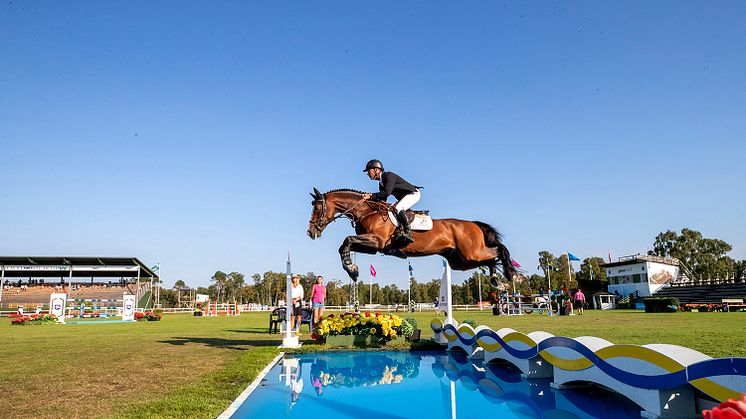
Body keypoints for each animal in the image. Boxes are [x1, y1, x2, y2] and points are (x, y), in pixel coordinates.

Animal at [306, 189, 516, 288]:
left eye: (317, 208)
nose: (310, 232)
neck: (367, 211)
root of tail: (473, 224)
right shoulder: (373, 247)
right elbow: (344, 245)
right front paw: (353, 270)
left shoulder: (376, 241)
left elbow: (347, 240)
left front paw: (352, 269)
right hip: (461, 261)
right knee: (490, 259)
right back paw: (498, 282)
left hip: (471, 253)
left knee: (498, 250)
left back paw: (511, 276)